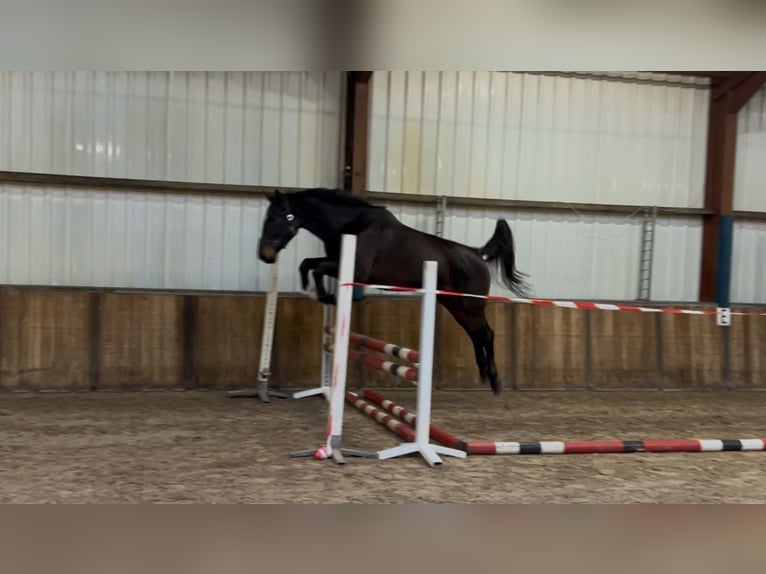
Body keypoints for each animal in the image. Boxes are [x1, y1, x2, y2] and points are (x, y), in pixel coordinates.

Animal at [256, 189, 528, 396]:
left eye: (276, 218)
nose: (265, 255)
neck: (352, 225)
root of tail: (477, 254)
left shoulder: (356, 271)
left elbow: (315, 267)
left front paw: (326, 296)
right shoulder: (337, 262)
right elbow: (308, 264)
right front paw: (317, 293)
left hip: (470, 305)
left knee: (487, 334)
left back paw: (495, 381)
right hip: (454, 305)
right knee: (476, 335)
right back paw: (483, 375)